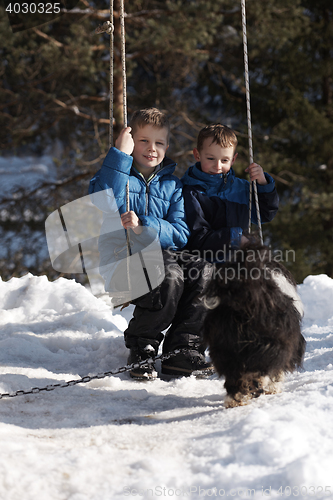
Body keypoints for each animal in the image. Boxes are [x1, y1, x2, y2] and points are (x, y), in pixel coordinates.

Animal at [201, 240, 304, 408]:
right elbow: (277, 370)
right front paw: (273, 388)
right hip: (272, 343)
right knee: (262, 368)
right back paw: (256, 385)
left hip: (225, 348)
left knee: (233, 377)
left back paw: (235, 400)